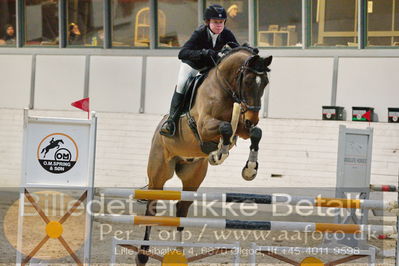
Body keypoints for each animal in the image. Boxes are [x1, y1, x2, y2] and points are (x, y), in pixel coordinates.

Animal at [137, 46, 272, 264]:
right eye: (248, 81)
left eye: (265, 82)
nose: (253, 118)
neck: (226, 89)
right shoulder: (204, 126)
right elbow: (225, 127)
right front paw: (220, 152)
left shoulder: (242, 128)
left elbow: (255, 133)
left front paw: (250, 169)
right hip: (159, 173)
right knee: (151, 208)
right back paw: (142, 255)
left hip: (193, 176)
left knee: (181, 208)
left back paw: (179, 254)